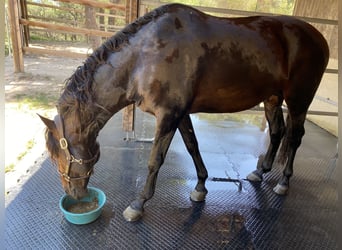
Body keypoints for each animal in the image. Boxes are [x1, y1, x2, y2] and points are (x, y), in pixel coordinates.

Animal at [39, 3, 328, 222]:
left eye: (58, 155)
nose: (74, 193)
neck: (144, 58)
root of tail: (319, 37)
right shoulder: (181, 114)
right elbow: (192, 146)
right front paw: (200, 187)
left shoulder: (168, 115)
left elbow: (155, 160)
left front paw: (138, 204)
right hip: (272, 98)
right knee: (278, 131)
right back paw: (260, 171)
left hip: (299, 100)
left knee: (295, 136)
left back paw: (284, 182)